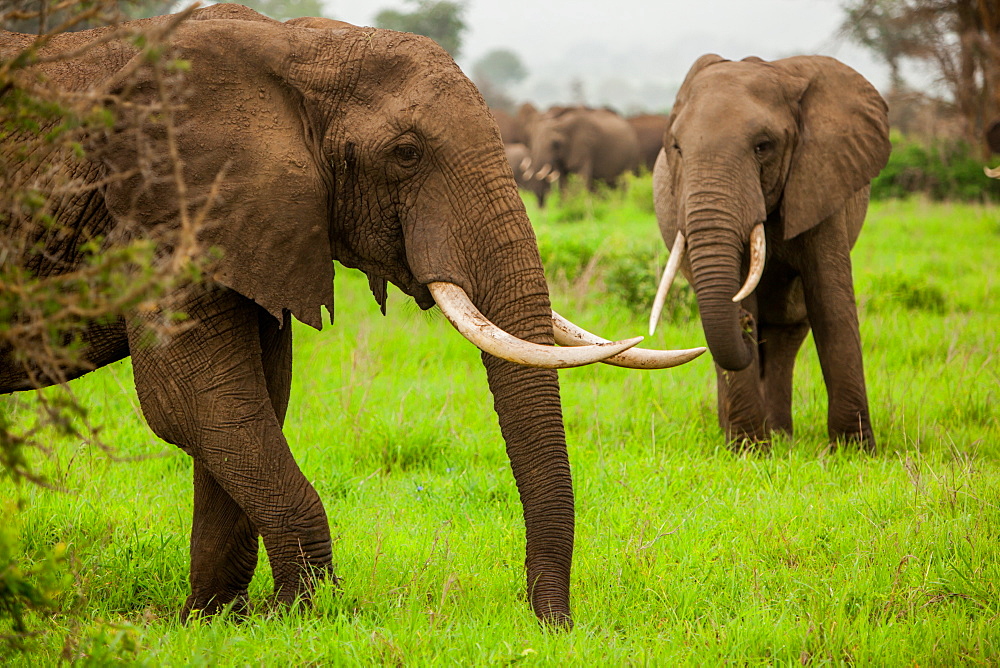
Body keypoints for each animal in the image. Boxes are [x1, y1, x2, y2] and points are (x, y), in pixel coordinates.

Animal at [0, 3, 704, 628]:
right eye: (406, 153)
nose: (553, 623)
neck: (290, 48)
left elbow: (252, 399)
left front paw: (213, 621)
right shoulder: (160, 211)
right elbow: (194, 402)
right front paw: (298, 615)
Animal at [648, 53, 892, 448]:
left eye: (763, 146)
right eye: (677, 149)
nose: (746, 322)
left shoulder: (820, 180)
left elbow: (831, 304)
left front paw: (855, 451)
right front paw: (748, 450)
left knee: (785, 332)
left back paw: (781, 436)